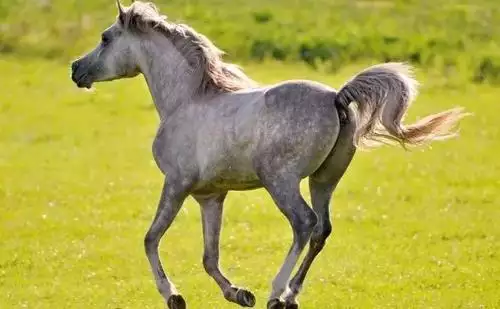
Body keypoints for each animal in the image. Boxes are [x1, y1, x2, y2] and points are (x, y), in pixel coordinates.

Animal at [70, 1, 468, 306]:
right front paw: (239, 293)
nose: (76, 69)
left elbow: (151, 239)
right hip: (324, 180)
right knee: (322, 229)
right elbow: (209, 257)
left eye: (105, 38)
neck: (187, 100)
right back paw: (291, 294)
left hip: (281, 181)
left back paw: (277, 293)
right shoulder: (210, 196)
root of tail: (337, 97)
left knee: (304, 223)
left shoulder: (177, 184)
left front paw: (174, 296)